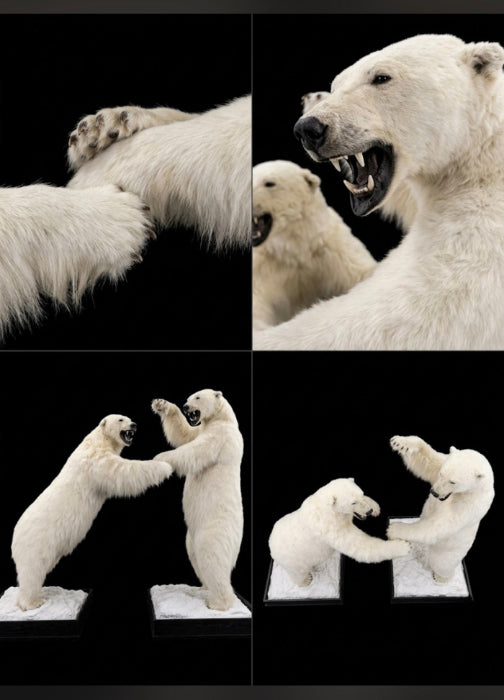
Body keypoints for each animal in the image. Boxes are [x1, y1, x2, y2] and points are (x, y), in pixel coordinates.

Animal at [11, 414, 173, 611]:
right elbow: (123, 470)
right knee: (32, 571)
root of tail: (14, 537)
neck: (98, 440)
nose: (134, 425)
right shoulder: (96, 460)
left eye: (129, 418)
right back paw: (32, 602)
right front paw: (164, 465)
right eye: (121, 419)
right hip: (37, 542)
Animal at [152, 389, 244, 611]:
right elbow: (185, 434)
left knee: (211, 558)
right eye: (188, 398)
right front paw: (162, 404)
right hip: (190, 537)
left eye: (198, 397)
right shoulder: (202, 428)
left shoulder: (220, 436)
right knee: (195, 556)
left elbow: (194, 450)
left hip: (213, 530)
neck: (224, 418)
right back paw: (203, 587)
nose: (186, 407)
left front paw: (159, 458)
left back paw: (217, 603)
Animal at [269, 478, 410, 588]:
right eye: (353, 502)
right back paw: (305, 581)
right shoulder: (330, 527)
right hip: (293, 560)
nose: (369, 511)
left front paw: (375, 507)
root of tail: (270, 543)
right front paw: (402, 547)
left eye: (362, 494)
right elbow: (359, 546)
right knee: (298, 573)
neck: (327, 508)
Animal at [387, 435, 494, 583]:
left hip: (449, 552)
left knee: (441, 564)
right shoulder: (442, 462)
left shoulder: (470, 504)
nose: (435, 492)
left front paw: (395, 529)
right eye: (442, 474)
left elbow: (441, 524)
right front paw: (400, 442)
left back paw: (441, 578)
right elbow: (428, 462)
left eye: (453, 481)